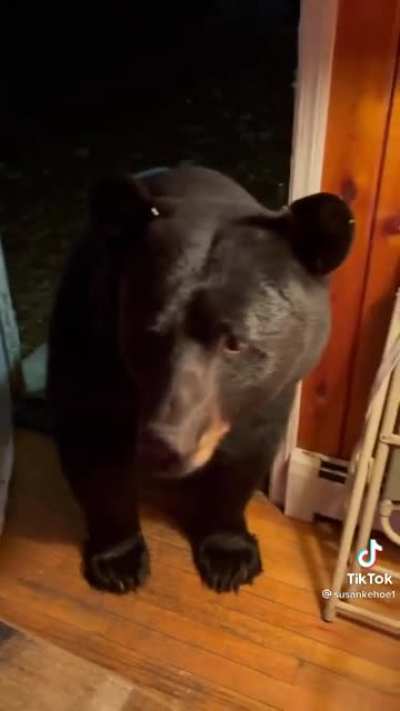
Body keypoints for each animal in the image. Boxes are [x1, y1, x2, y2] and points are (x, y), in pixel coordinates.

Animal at [47, 165, 354, 594]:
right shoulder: (90, 344)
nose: (163, 446)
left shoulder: (273, 391)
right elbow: (95, 455)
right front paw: (118, 561)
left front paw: (229, 556)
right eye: (148, 333)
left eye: (235, 342)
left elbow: (243, 458)